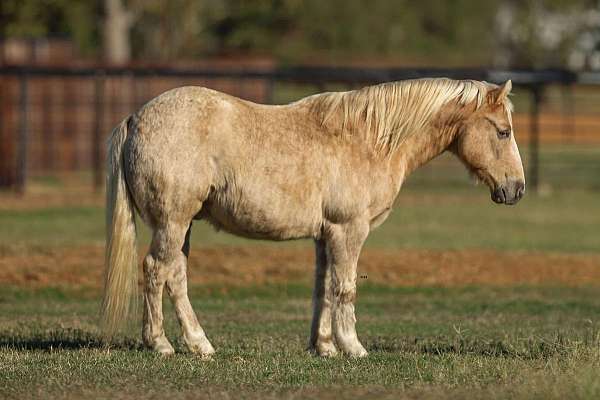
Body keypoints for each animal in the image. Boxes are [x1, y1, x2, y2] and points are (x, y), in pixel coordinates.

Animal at [102, 77, 524, 356]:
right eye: (503, 132)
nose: (516, 189)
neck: (369, 138)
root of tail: (136, 118)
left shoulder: (326, 235)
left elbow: (324, 286)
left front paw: (324, 347)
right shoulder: (349, 230)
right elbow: (345, 287)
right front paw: (353, 347)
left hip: (181, 225)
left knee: (175, 275)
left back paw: (198, 344)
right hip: (172, 223)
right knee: (157, 270)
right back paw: (162, 344)